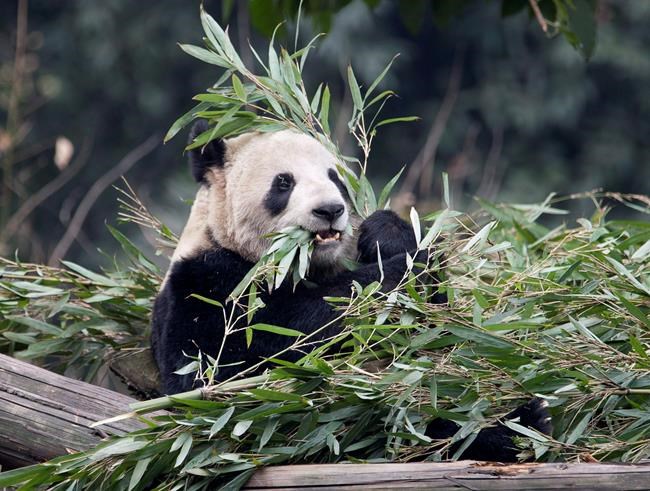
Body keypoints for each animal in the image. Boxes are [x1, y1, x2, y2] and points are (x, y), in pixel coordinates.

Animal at [151, 120, 552, 461]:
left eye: (335, 178)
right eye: (283, 183)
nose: (330, 209)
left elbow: (439, 327)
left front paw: (387, 233)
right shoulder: (209, 286)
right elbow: (231, 369)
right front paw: (403, 270)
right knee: (403, 420)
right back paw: (511, 429)